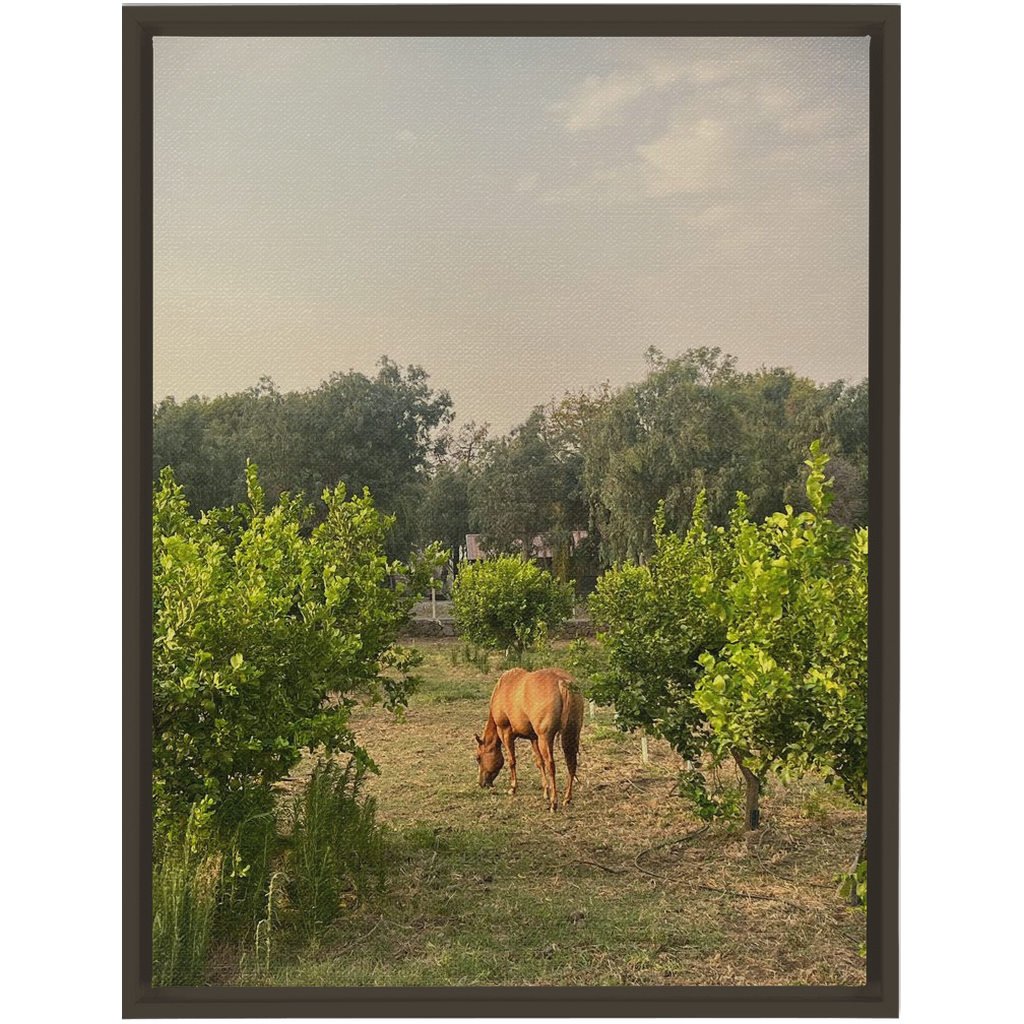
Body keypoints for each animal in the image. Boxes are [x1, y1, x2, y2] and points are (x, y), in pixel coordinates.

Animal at [473, 667, 585, 811]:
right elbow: (539, 762)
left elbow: (512, 761)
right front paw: (545, 791)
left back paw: (554, 803)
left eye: (478, 758)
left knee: (551, 765)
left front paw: (513, 788)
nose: (482, 783)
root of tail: (562, 682)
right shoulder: (533, 738)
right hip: (570, 735)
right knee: (571, 764)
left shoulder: (505, 732)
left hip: (545, 738)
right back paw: (567, 798)